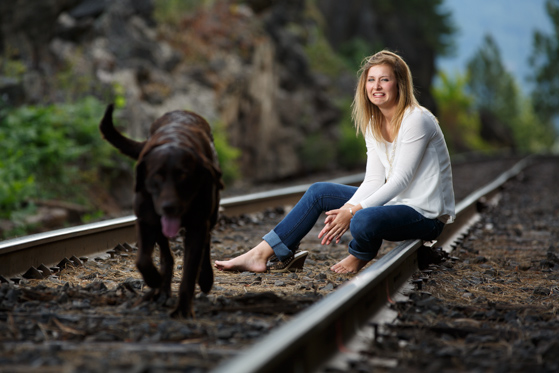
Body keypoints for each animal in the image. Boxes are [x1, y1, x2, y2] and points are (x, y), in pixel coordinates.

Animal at [100, 104, 223, 316]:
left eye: (183, 176)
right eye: (156, 177)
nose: (169, 207)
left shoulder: (198, 226)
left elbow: (190, 271)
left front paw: (183, 310)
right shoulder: (146, 220)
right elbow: (142, 260)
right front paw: (155, 280)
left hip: (211, 214)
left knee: (206, 243)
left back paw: (205, 278)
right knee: (167, 256)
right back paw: (163, 290)